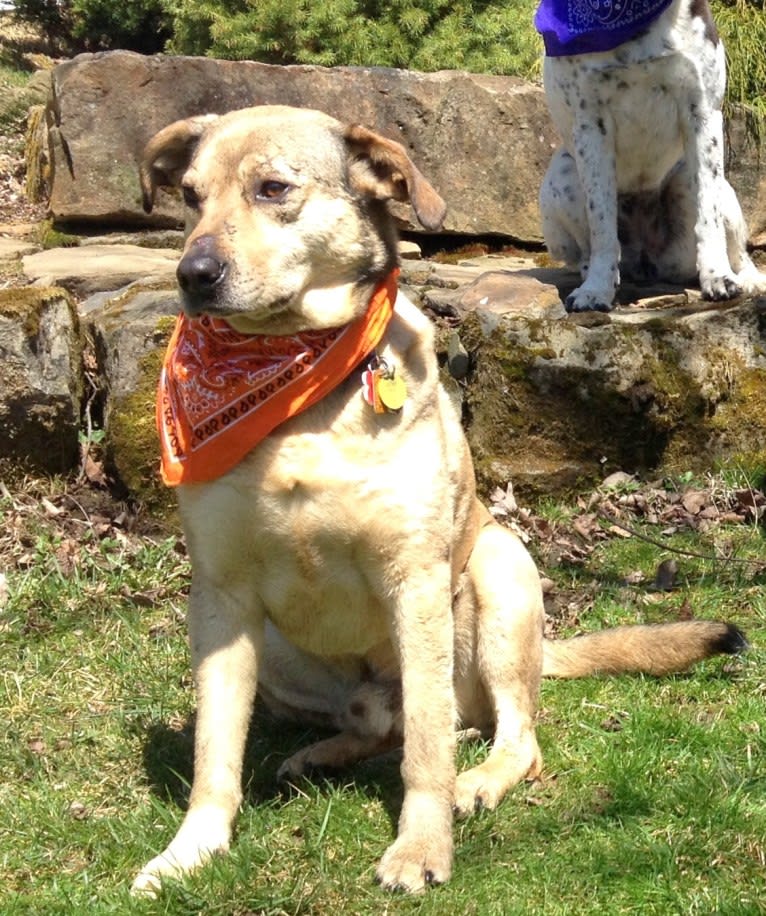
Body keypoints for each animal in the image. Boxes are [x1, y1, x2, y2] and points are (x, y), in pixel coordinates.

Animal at [135, 105, 748, 896]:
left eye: (273, 188)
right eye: (188, 196)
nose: (193, 274)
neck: (300, 397)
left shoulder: (415, 578)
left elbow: (428, 749)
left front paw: (421, 846)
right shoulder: (221, 596)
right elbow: (216, 749)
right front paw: (192, 849)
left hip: (498, 571)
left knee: (505, 733)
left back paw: (478, 781)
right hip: (275, 653)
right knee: (381, 726)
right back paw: (321, 754)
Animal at [536, 0, 766, 312]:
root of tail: (647, 263)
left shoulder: (703, 112)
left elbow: (709, 214)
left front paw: (718, 277)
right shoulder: (590, 124)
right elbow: (601, 223)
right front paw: (596, 289)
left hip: (701, 185)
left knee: (737, 250)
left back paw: (748, 279)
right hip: (561, 181)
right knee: (586, 248)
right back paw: (593, 272)